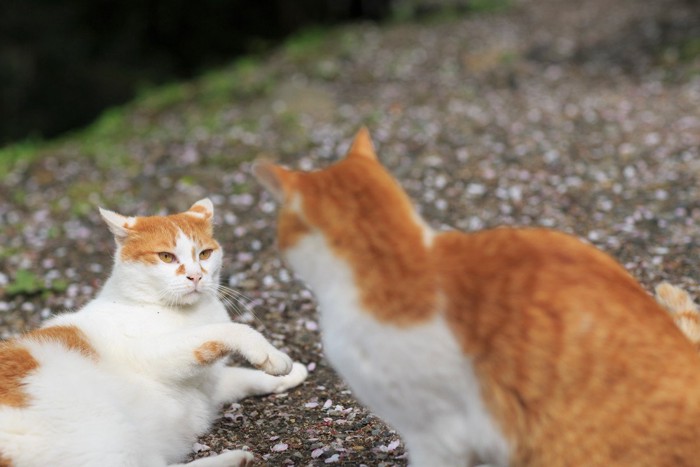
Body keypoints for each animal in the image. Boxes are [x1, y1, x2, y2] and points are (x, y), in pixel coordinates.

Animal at [0, 199, 308, 467]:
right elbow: (227, 331)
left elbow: (241, 376)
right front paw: (271, 354)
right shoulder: (156, 354)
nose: (195, 276)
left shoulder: (209, 381)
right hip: (107, 426)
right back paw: (234, 459)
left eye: (205, 254)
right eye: (166, 257)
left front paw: (291, 373)